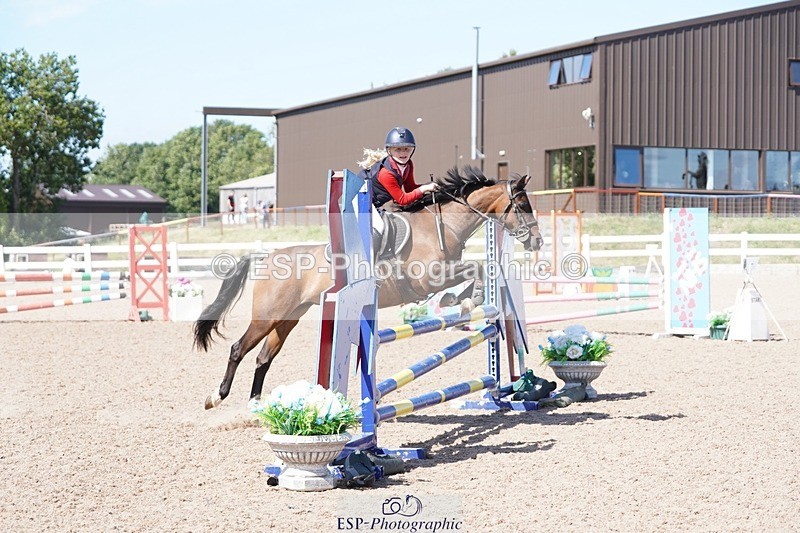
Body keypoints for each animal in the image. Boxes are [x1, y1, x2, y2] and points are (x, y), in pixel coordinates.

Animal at [193, 166, 544, 409]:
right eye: (523, 204)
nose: (537, 241)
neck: (441, 226)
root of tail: (267, 256)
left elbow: (477, 269)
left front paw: (462, 299)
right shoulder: (428, 277)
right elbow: (475, 268)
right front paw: (466, 299)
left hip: (288, 318)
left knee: (263, 358)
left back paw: (255, 405)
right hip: (267, 316)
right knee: (238, 349)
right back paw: (216, 396)